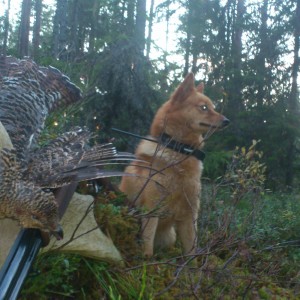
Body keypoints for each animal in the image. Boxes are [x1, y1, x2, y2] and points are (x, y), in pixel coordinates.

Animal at [118, 72, 229, 255]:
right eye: (204, 107)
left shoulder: (190, 215)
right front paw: (147, 261)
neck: (179, 151)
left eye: (212, 107)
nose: (227, 121)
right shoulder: (151, 210)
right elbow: (147, 248)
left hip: (169, 237)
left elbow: (192, 251)